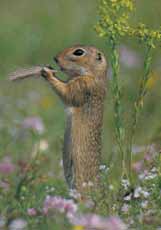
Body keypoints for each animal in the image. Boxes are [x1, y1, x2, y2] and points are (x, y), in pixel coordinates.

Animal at [41, 45, 107, 192]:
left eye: (78, 52)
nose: (55, 58)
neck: (93, 74)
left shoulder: (82, 86)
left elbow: (66, 92)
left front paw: (47, 72)